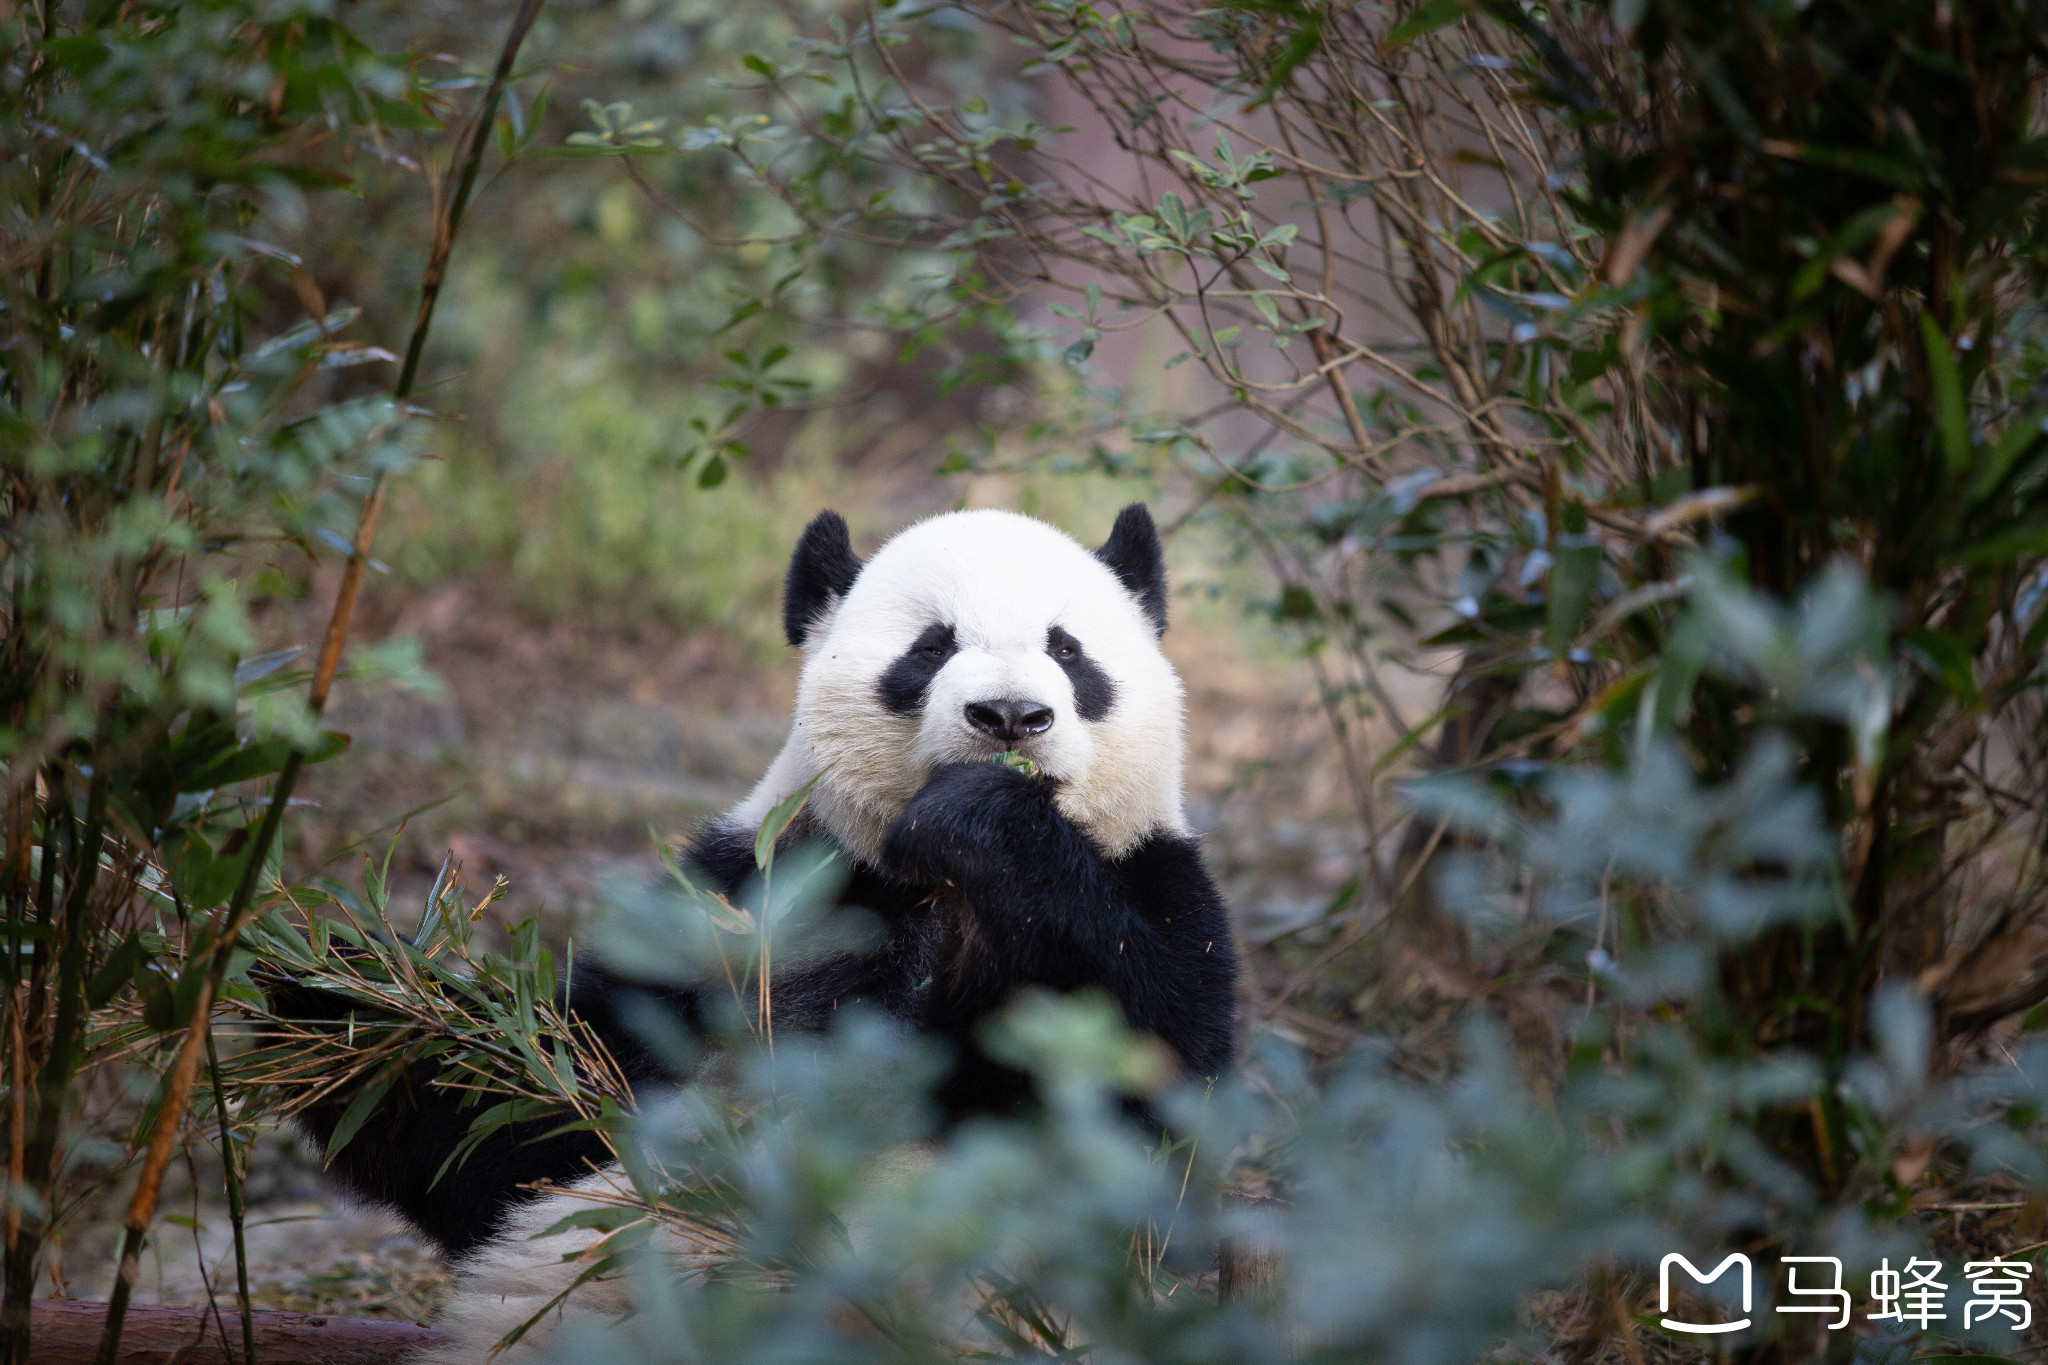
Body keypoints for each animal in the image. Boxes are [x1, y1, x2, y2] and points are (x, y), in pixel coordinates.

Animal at [268, 507, 1228, 1358]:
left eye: (1069, 650)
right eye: (931, 647)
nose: (1010, 717)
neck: (937, 889)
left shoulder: (1156, 886)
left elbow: (1146, 1090)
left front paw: (984, 814)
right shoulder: (741, 908)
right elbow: (524, 1124)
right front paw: (338, 992)